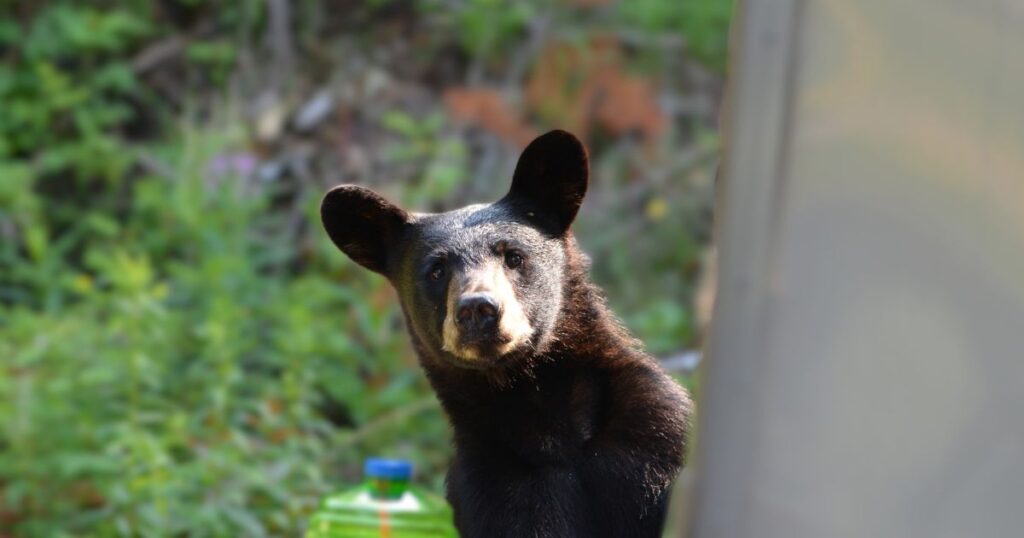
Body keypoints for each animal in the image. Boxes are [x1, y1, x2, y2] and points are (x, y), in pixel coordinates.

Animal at [321, 130, 693, 538]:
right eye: (435, 271)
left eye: (513, 256)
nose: (478, 310)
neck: (542, 414)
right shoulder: (492, 483)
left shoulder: (652, 437)